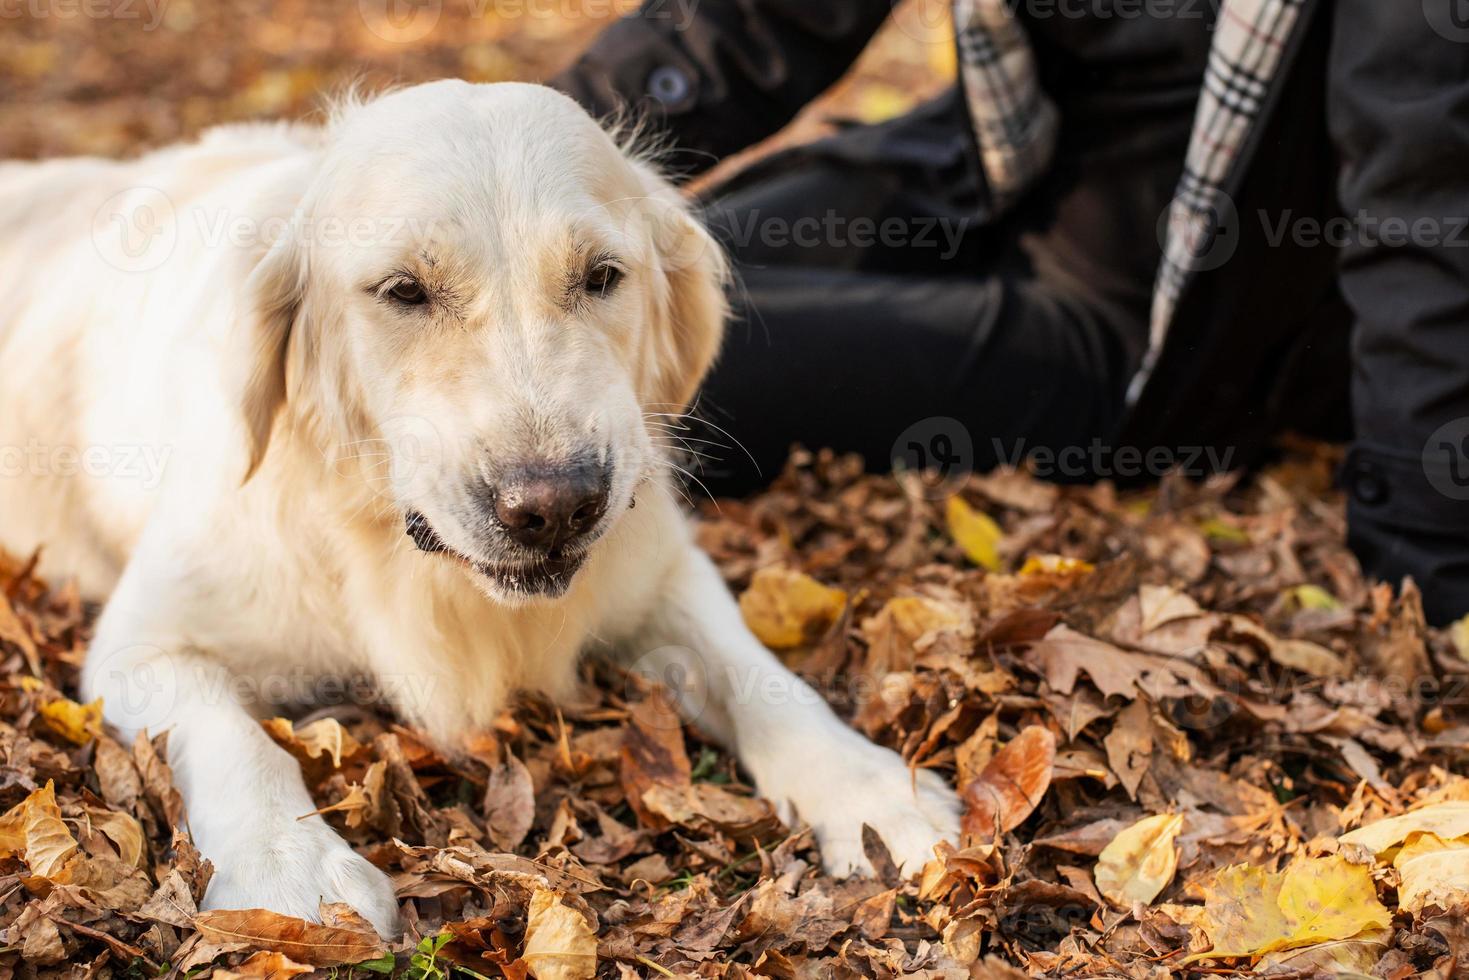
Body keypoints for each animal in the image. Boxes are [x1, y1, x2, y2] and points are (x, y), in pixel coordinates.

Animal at [0, 82, 951, 934]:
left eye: (601, 277)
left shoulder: (658, 568)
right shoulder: (143, 639)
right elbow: (237, 739)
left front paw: (870, 788)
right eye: (403, 291)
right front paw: (290, 868)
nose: (556, 507)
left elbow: (760, 674)